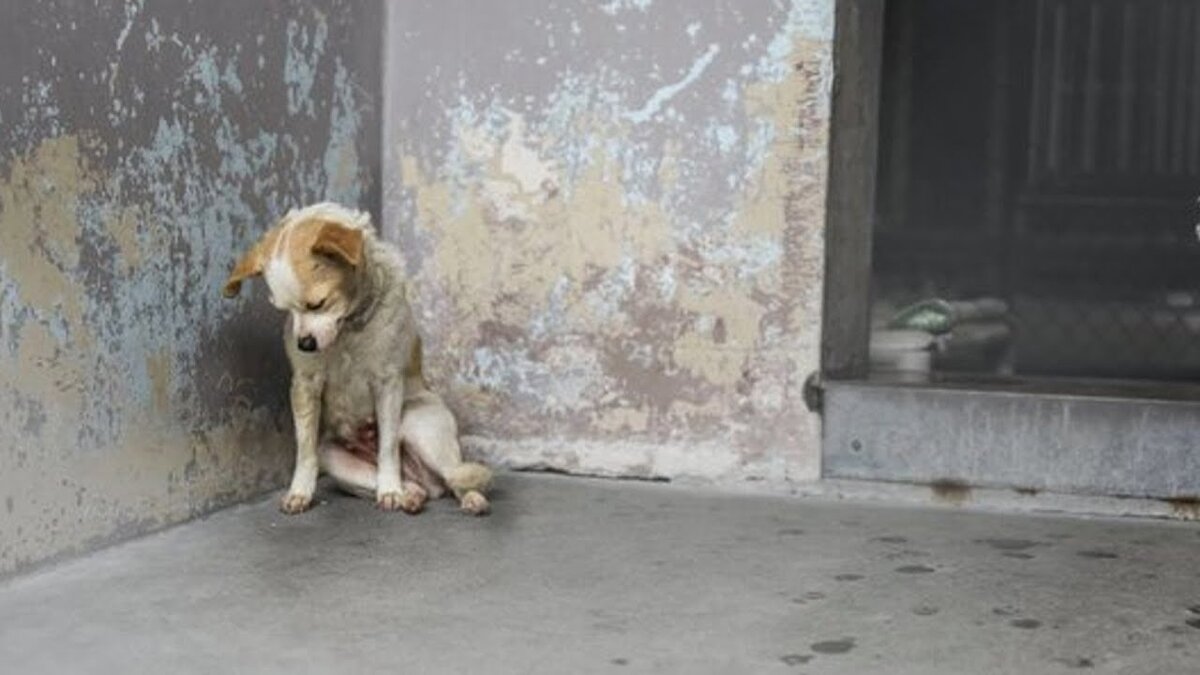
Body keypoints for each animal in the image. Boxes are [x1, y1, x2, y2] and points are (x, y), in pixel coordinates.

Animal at [223, 201, 489, 511]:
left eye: (318, 304)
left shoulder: (387, 384)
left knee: (456, 476)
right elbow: (305, 449)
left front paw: (390, 488)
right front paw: (300, 491)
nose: (304, 344)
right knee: (419, 486)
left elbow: (388, 447)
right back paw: (410, 495)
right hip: (334, 457)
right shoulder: (305, 386)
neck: (348, 330)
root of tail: (419, 476)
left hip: (420, 426)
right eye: (285, 310)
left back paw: (467, 498)